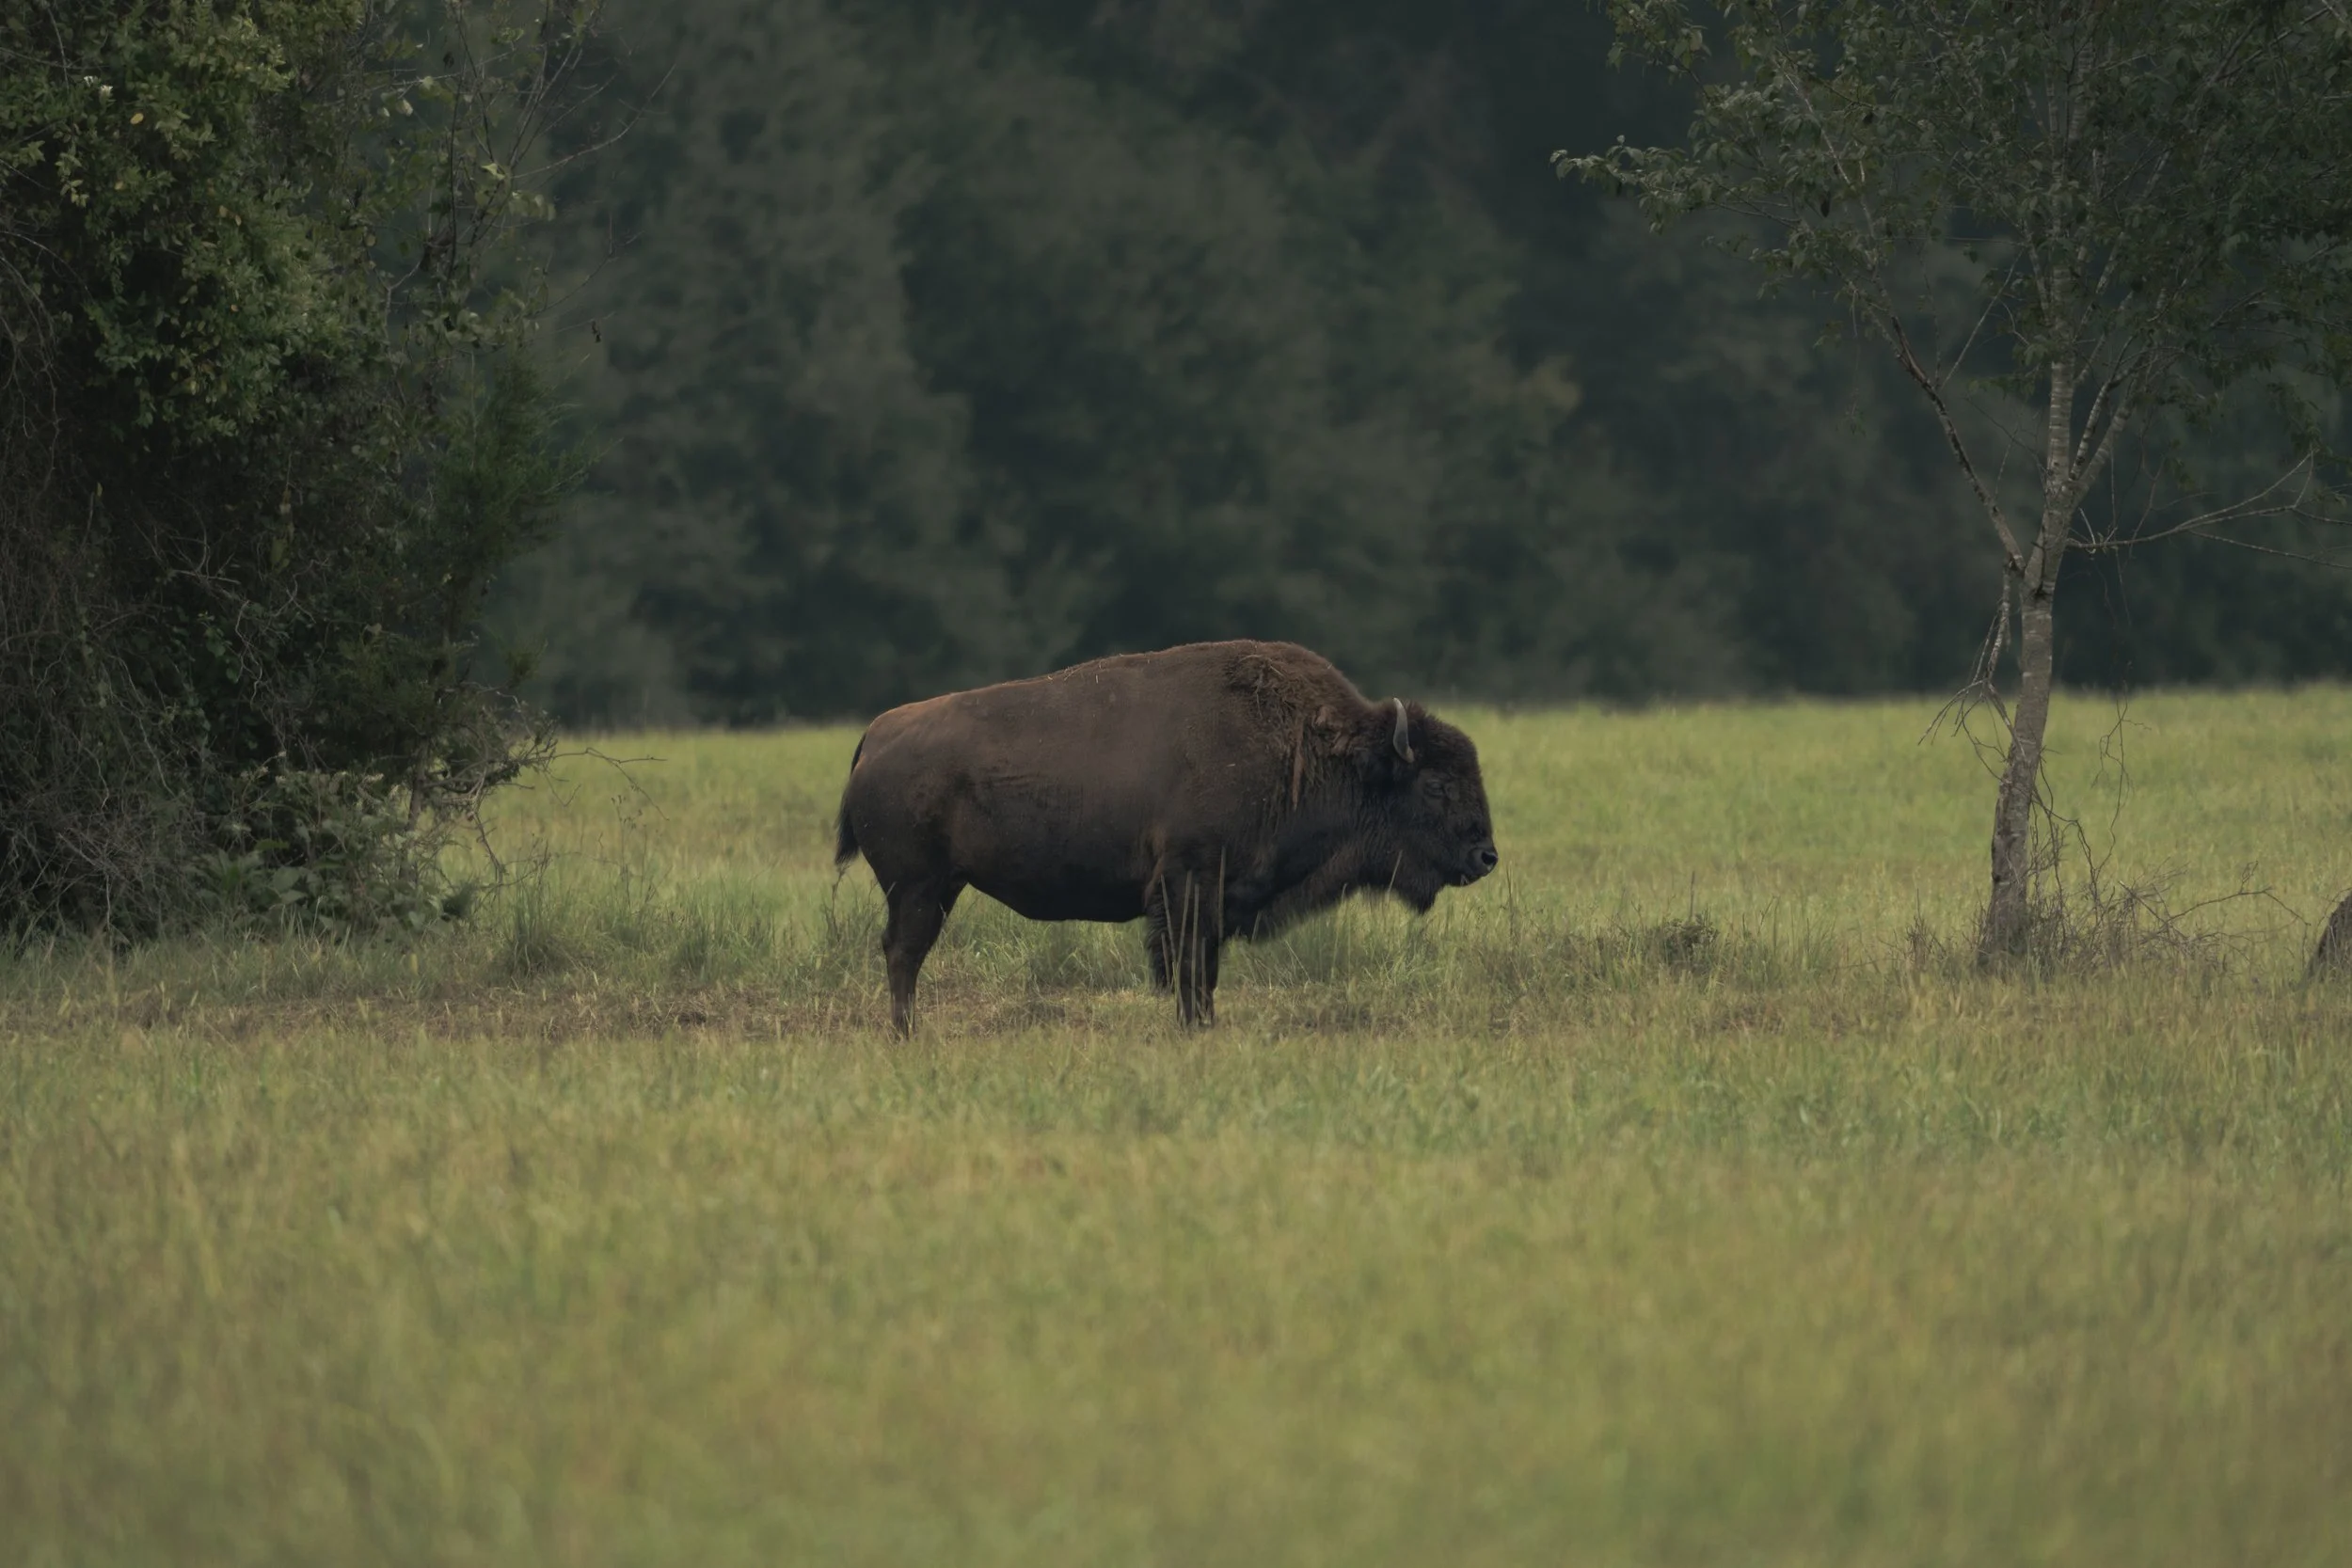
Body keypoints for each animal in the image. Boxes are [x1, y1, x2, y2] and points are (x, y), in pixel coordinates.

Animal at [832, 639, 1498, 1031]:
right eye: (1436, 784)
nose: (1486, 855)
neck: (1313, 749)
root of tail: (878, 733)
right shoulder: (1191, 882)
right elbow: (1188, 965)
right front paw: (1194, 1026)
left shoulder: (1212, 895)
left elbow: (1203, 967)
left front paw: (1203, 1025)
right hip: (918, 886)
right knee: (904, 952)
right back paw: (906, 1033)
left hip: (939, 887)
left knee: (903, 951)